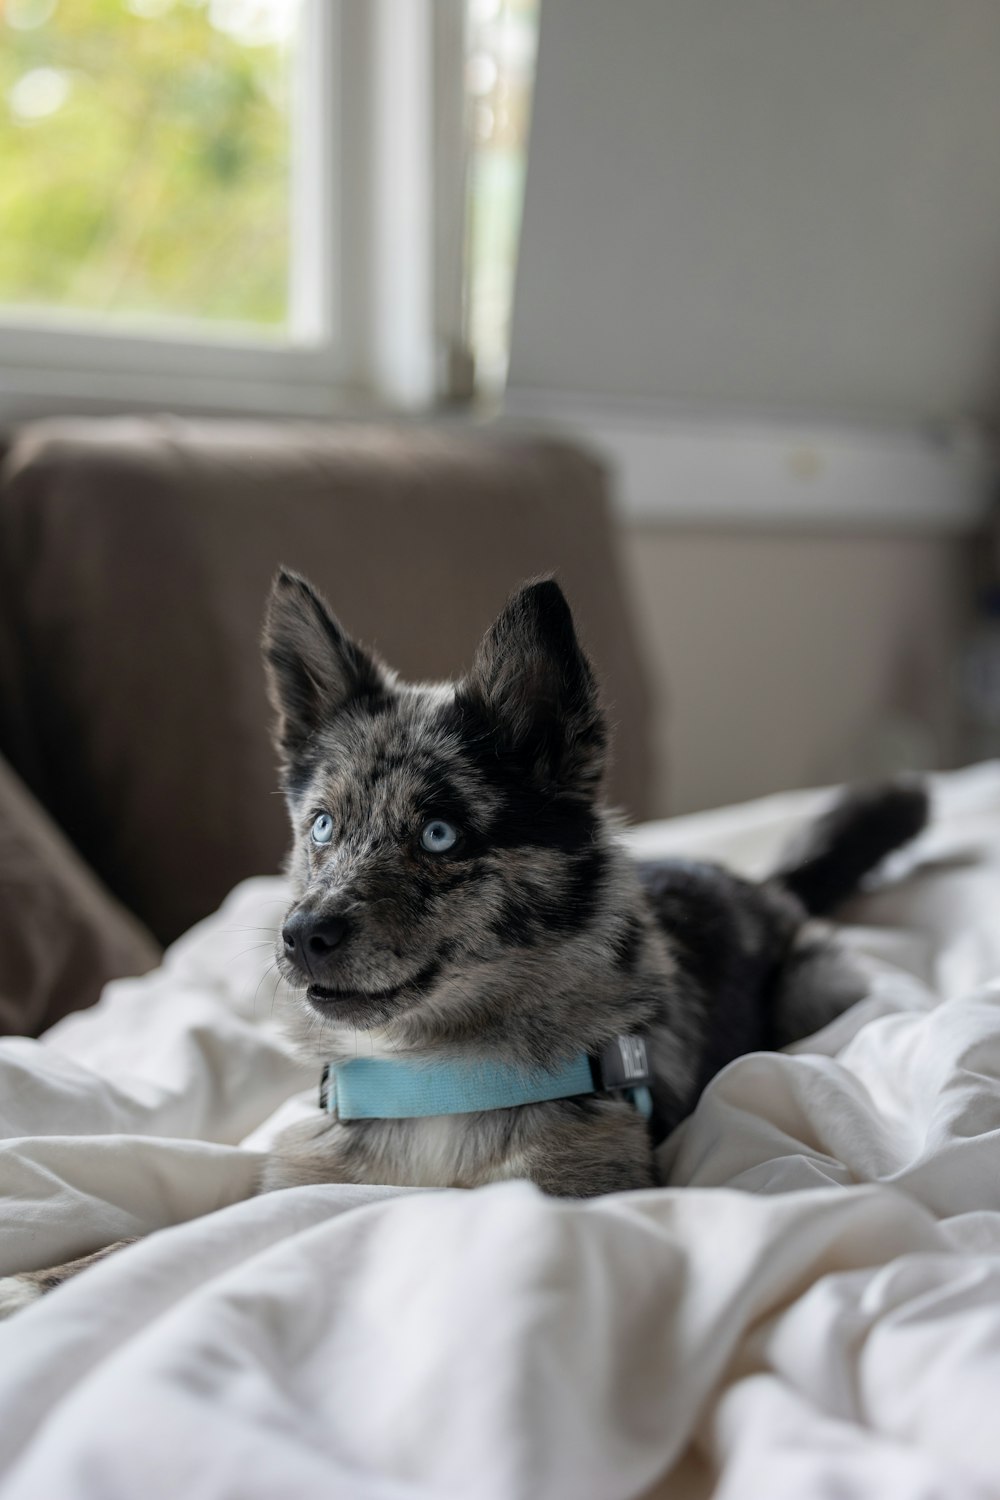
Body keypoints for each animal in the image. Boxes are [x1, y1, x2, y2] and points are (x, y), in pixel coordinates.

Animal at [0, 573, 929, 1314]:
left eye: (440, 834)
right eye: (323, 826)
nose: (299, 937)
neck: (435, 1075)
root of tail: (765, 883)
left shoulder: (576, 1189)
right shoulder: (301, 1179)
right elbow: (169, 1237)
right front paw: (54, 1276)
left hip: (815, 991)